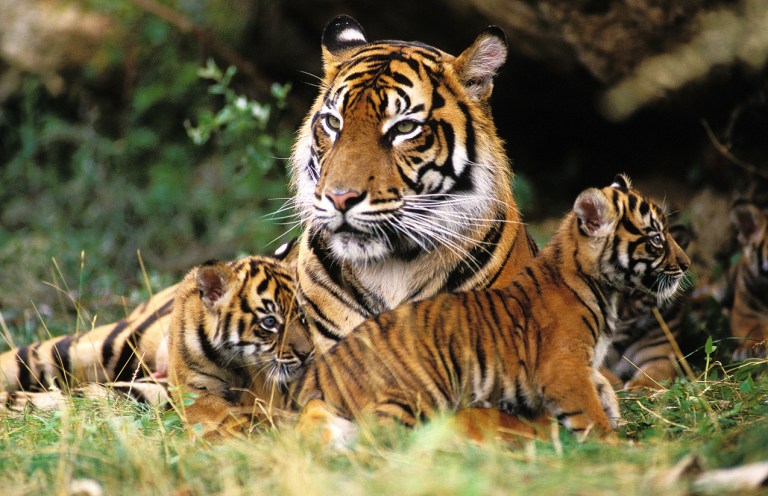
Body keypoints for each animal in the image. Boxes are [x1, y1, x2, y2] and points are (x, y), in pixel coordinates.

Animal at [292, 174, 688, 442]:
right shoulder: (564, 369)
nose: (685, 265)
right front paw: (612, 444)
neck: (602, 288)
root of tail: (323, 371)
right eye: (656, 239)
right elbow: (590, 414)